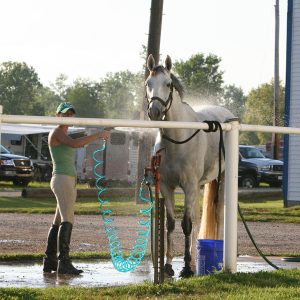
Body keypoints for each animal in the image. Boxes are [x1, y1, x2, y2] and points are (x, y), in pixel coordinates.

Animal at [146, 54, 236, 276]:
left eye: (168, 84)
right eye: (148, 83)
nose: (155, 111)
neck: (178, 139)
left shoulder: (188, 186)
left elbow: (186, 224)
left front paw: (186, 268)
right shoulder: (167, 187)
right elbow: (170, 224)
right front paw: (168, 265)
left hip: (218, 182)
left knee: (217, 215)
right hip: (198, 186)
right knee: (196, 217)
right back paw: (195, 261)